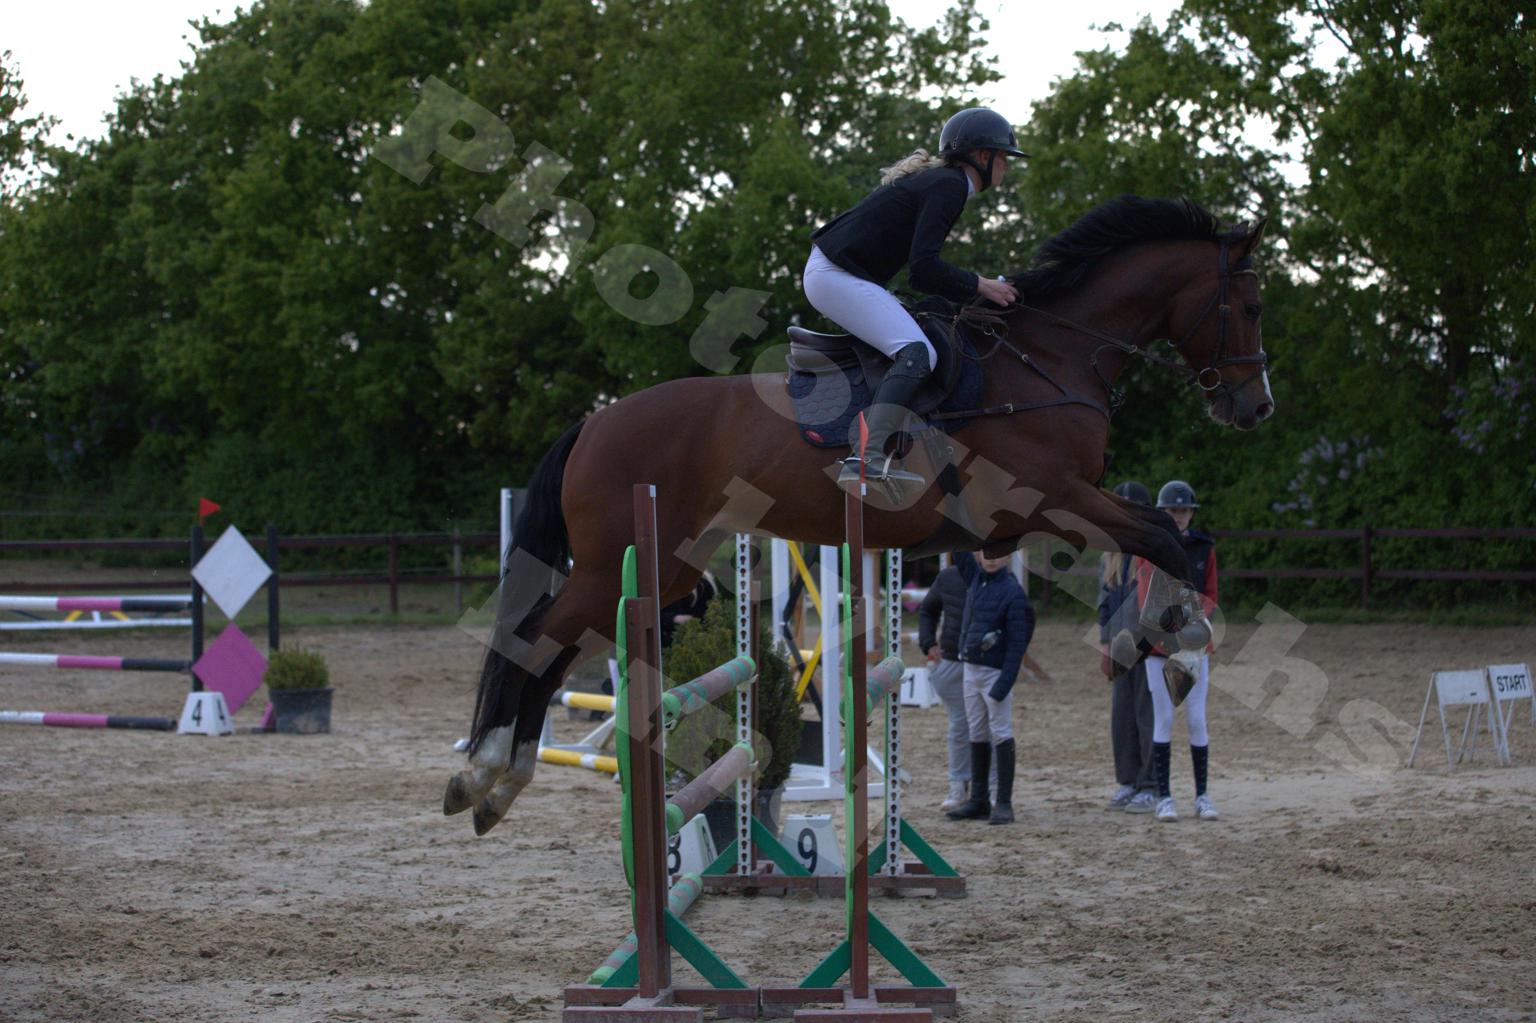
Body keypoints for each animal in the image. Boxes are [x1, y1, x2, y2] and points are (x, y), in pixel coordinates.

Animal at [444, 195, 1274, 836]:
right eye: (1249, 306)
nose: (1256, 408)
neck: (1051, 360)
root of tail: (594, 423)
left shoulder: (1054, 510)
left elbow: (1160, 535)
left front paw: (1170, 631)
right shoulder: (1056, 500)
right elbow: (1162, 536)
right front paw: (1177, 633)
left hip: (666, 564)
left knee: (553, 649)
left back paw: (500, 783)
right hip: (616, 564)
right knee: (535, 641)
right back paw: (483, 774)